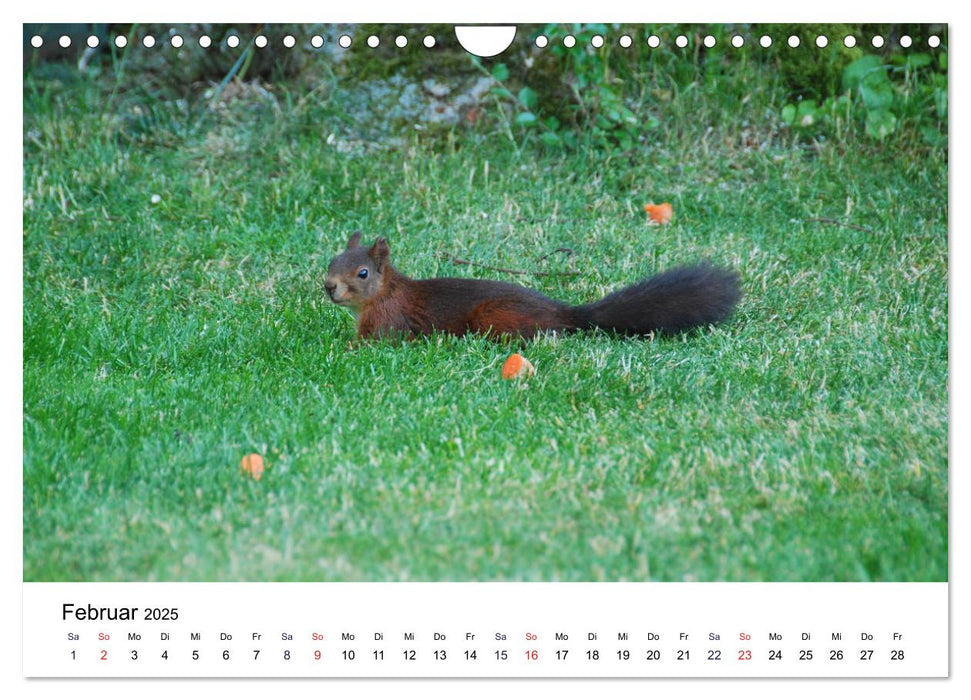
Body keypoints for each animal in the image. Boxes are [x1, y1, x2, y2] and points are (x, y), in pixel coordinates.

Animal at [326, 234, 744, 340]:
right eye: (330, 262)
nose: (329, 287)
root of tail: (563, 313)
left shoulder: (388, 324)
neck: (388, 291)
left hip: (495, 317)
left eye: (362, 273)